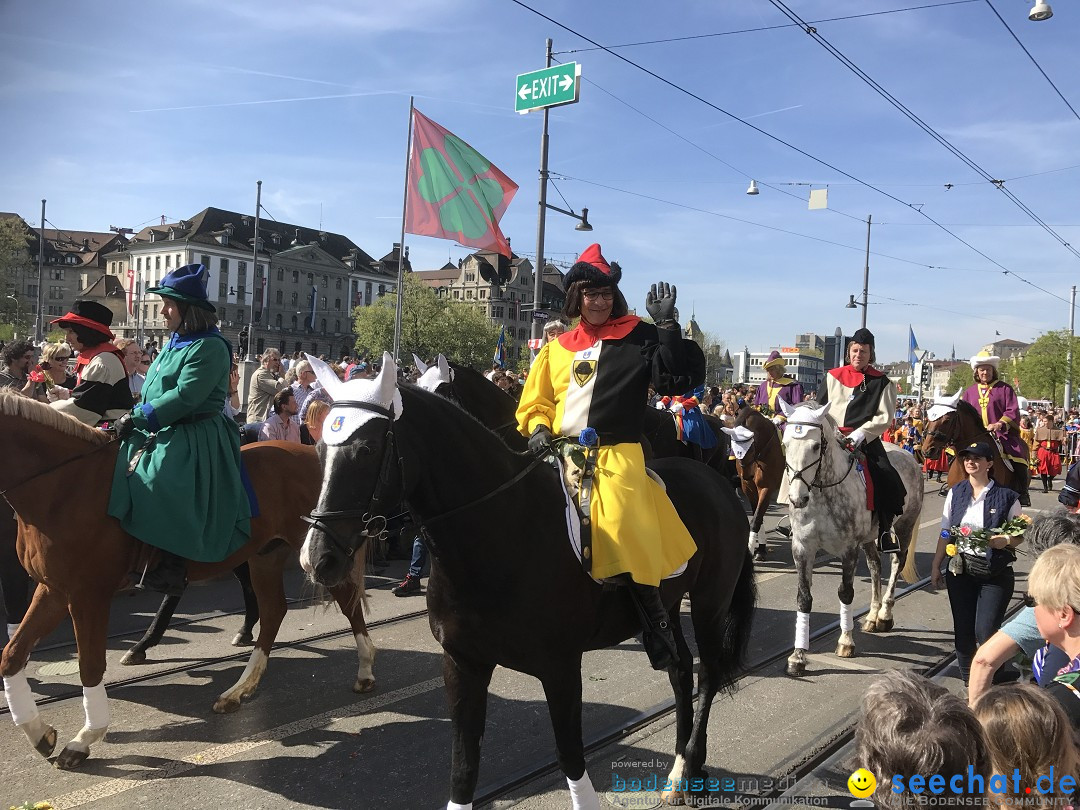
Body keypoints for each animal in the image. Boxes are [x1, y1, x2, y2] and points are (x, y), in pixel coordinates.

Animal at [0, 390, 373, 768]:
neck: (67, 484)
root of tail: (314, 456)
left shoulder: (87, 594)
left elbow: (90, 665)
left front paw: (84, 738)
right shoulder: (53, 589)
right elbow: (12, 655)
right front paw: (38, 732)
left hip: (321, 556)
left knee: (347, 601)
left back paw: (365, 670)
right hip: (265, 556)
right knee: (273, 612)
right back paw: (238, 689)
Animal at [300, 360, 756, 810]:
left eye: (366, 450)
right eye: (319, 449)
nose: (317, 558)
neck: (500, 531)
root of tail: (719, 483)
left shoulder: (561, 668)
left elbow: (571, 758)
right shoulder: (462, 663)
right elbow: (463, 768)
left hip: (710, 603)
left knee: (707, 674)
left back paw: (691, 762)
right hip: (671, 601)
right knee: (680, 669)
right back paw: (680, 770)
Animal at [725, 408, 786, 561]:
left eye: (750, 447)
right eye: (733, 446)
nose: (746, 475)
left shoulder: (766, 488)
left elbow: (756, 519)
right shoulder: (749, 488)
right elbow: (758, 517)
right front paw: (761, 549)